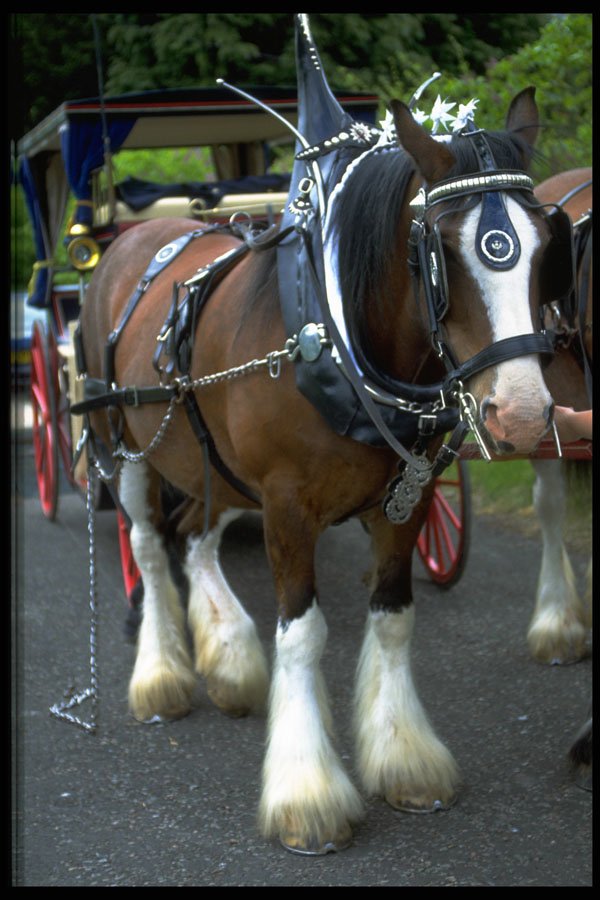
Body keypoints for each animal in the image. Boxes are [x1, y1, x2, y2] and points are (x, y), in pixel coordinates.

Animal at [74, 69, 573, 852]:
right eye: (441, 249)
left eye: (547, 244)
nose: (521, 415)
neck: (337, 340)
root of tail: (133, 240)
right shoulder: (286, 505)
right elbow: (304, 633)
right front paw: (306, 794)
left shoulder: (408, 497)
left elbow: (394, 616)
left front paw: (405, 759)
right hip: (122, 439)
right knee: (152, 547)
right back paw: (161, 677)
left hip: (209, 463)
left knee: (194, 538)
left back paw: (230, 658)